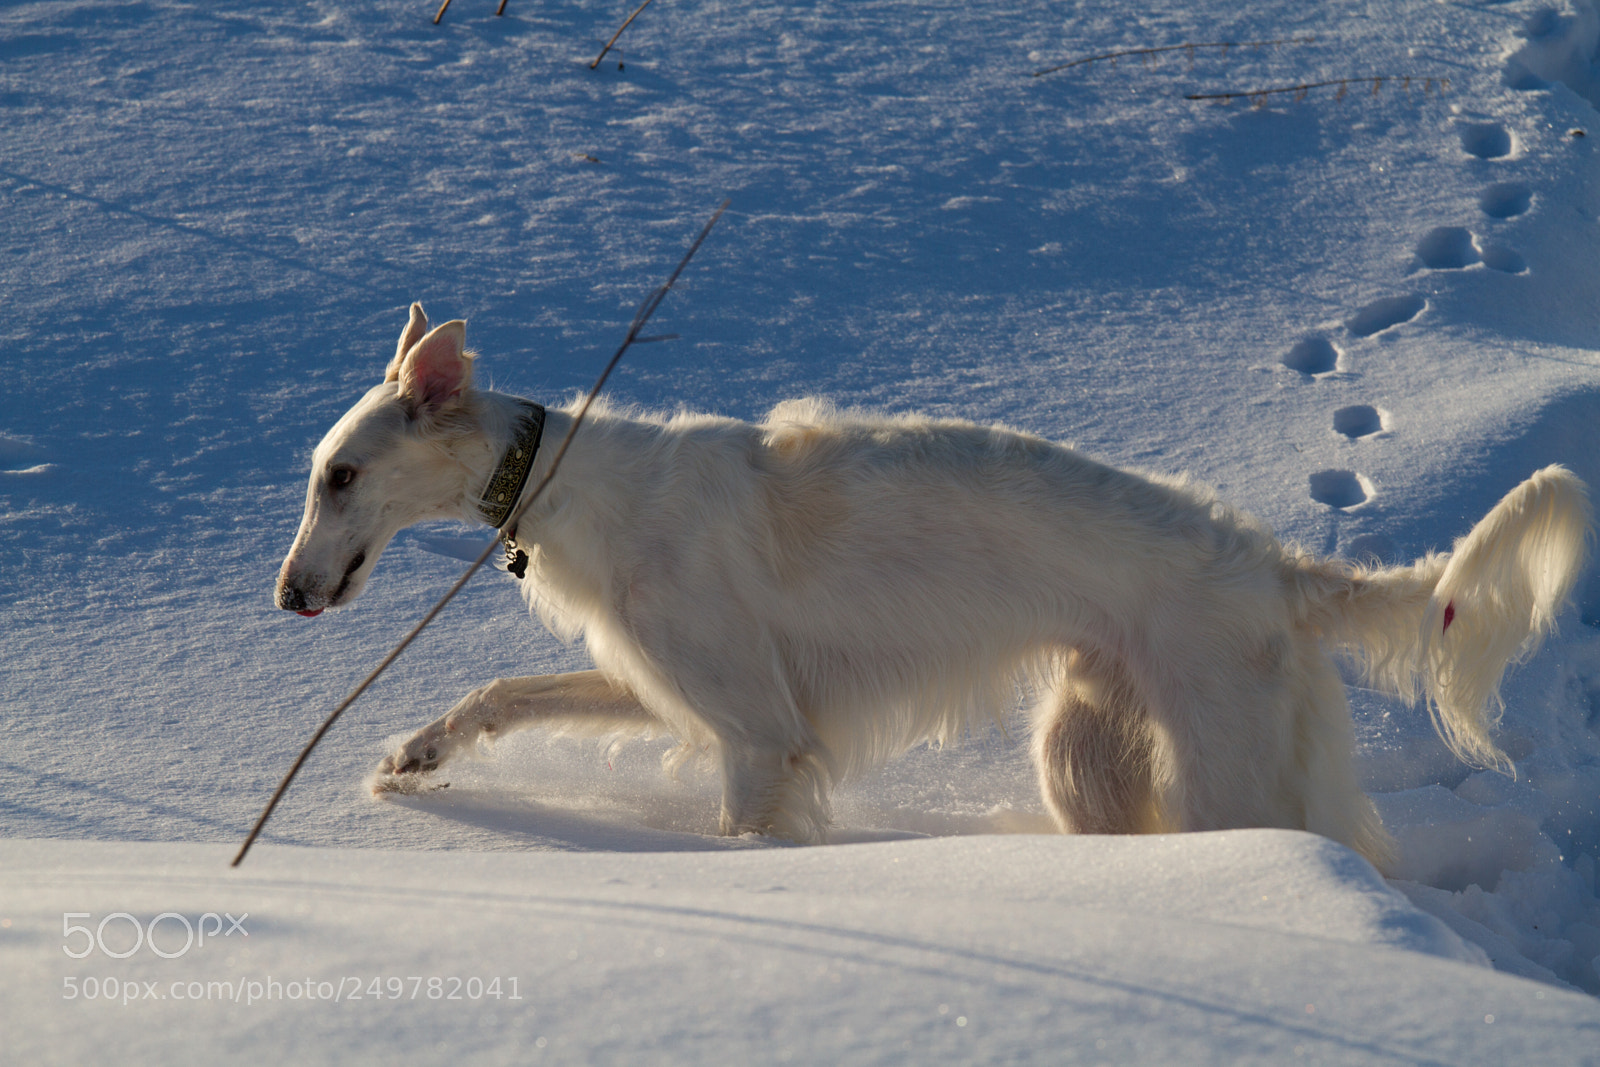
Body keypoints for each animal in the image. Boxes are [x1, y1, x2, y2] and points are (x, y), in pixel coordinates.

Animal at [275, 302, 1587, 870]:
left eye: (340, 475)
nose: (289, 595)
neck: (580, 480)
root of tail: (1280, 566)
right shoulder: (670, 685)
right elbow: (501, 690)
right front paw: (410, 758)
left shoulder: (759, 733)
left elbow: (744, 834)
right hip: (1086, 747)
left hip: (1218, 763)